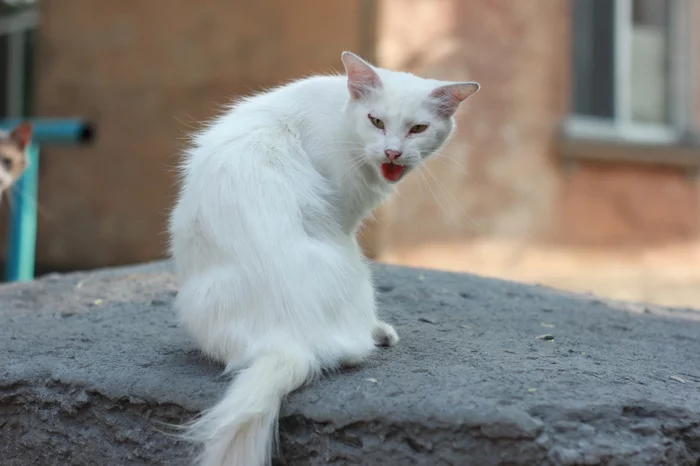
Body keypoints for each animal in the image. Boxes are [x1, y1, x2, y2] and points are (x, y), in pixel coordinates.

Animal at [167, 52, 478, 466]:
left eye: (418, 128)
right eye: (376, 121)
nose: (392, 152)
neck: (341, 116)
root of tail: (287, 341)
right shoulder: (346, 213)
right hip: (355, 265)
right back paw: (378, 332)